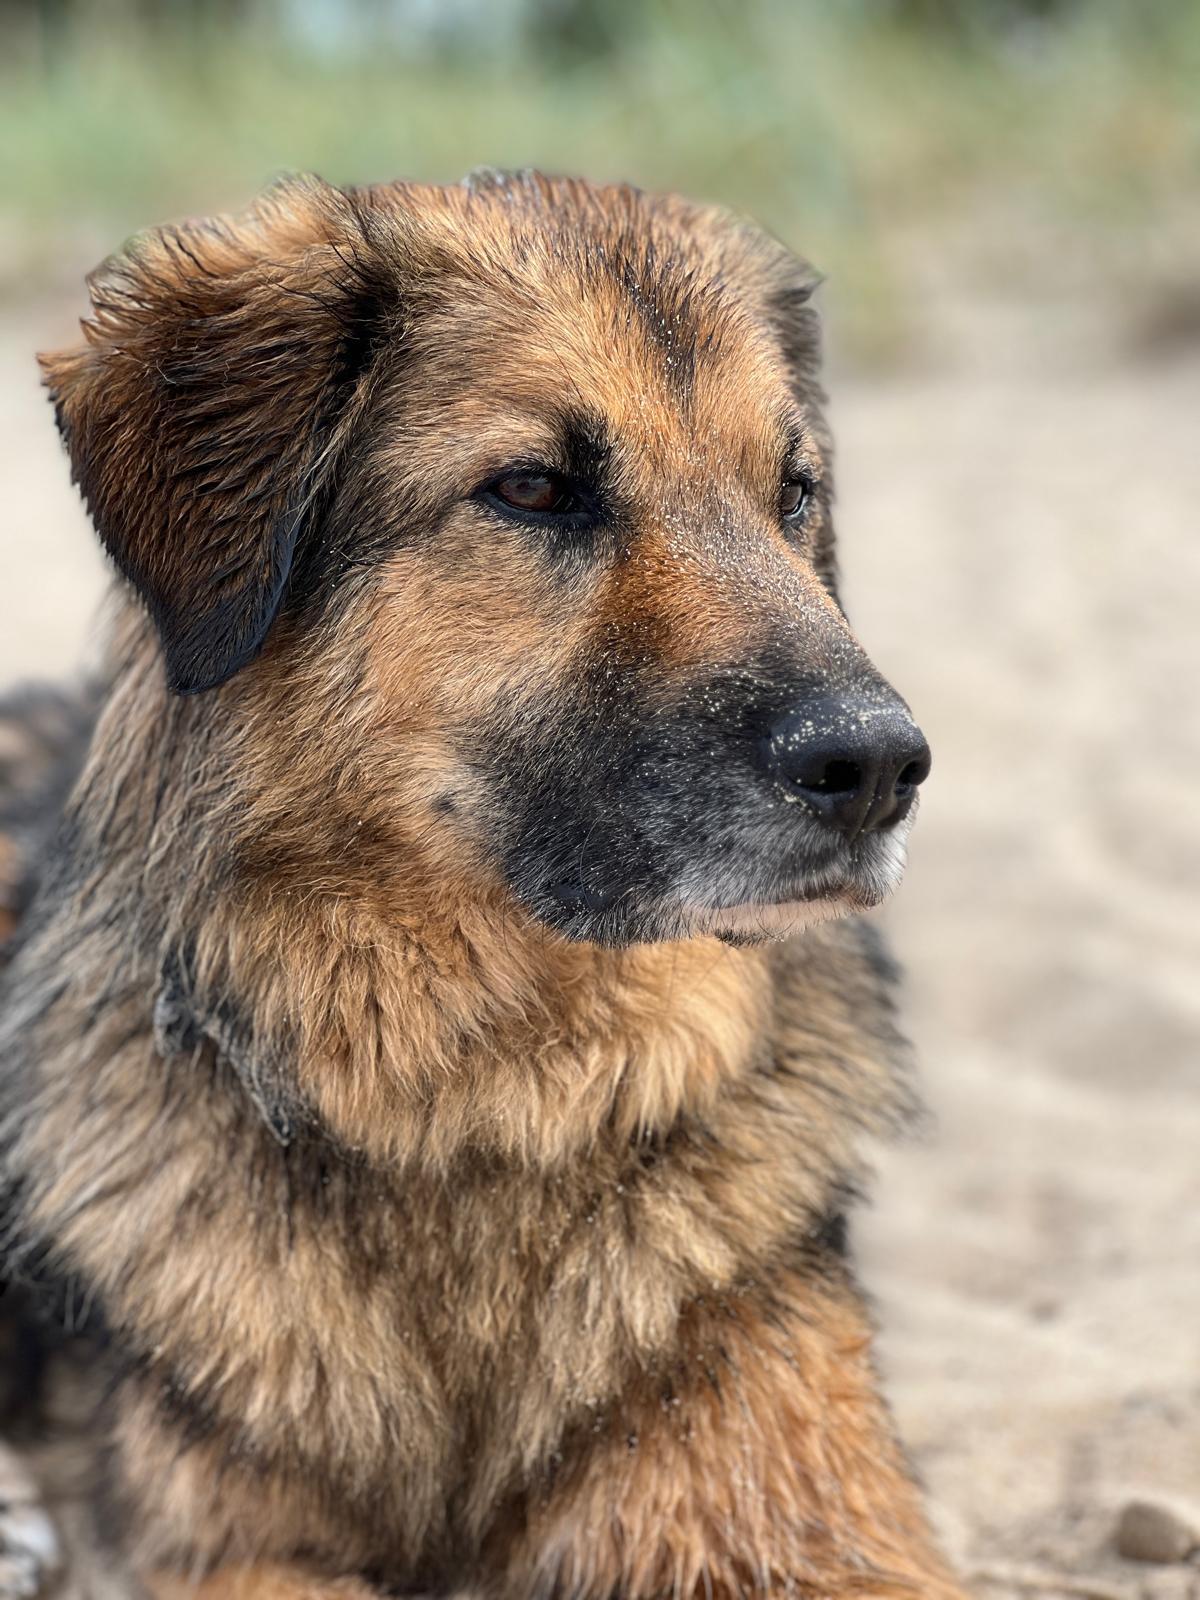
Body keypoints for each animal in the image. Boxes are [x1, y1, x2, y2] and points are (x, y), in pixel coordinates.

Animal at [0, 170, 961, 1600]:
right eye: (534, 488)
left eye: (792, 493)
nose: (881, 766)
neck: (490, 1102)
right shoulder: (227, 1544)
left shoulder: (794, 1500)